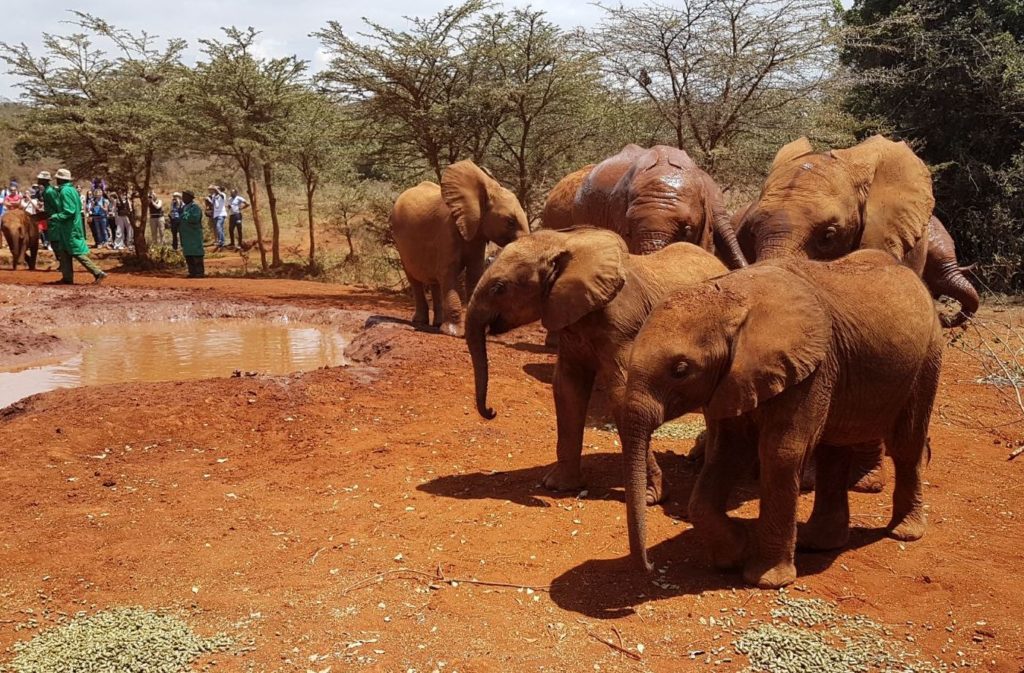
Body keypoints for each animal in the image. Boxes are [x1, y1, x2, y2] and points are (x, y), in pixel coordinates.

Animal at [389, 157, 528, 335]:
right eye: (510, 222)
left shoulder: (476, 235)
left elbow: (474, 274)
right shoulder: (447, 231)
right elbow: (449, 273)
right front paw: (452, 333)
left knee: (435, 280)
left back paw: (437, 324)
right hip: (399, 242)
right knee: (414, 279)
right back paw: (421, 322)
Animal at [464, 228, 729, 501]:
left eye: (499, 288)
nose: (491, 411)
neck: (566, 242)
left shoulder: (623, 328)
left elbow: (622, 396)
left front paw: (651, 497)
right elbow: (567, 389)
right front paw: (558, 487)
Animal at [614, 248, 942, 585]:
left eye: (680, 370)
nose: (649, 567)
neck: (732, 299)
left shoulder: (810, 370)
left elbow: (780, 454)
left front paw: (766, 579)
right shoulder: (734, 378)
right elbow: (727, 452)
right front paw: (735, 553)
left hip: (927, 360)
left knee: (906, 445)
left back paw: (904, 533)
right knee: (832, 453)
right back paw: (819, 543)